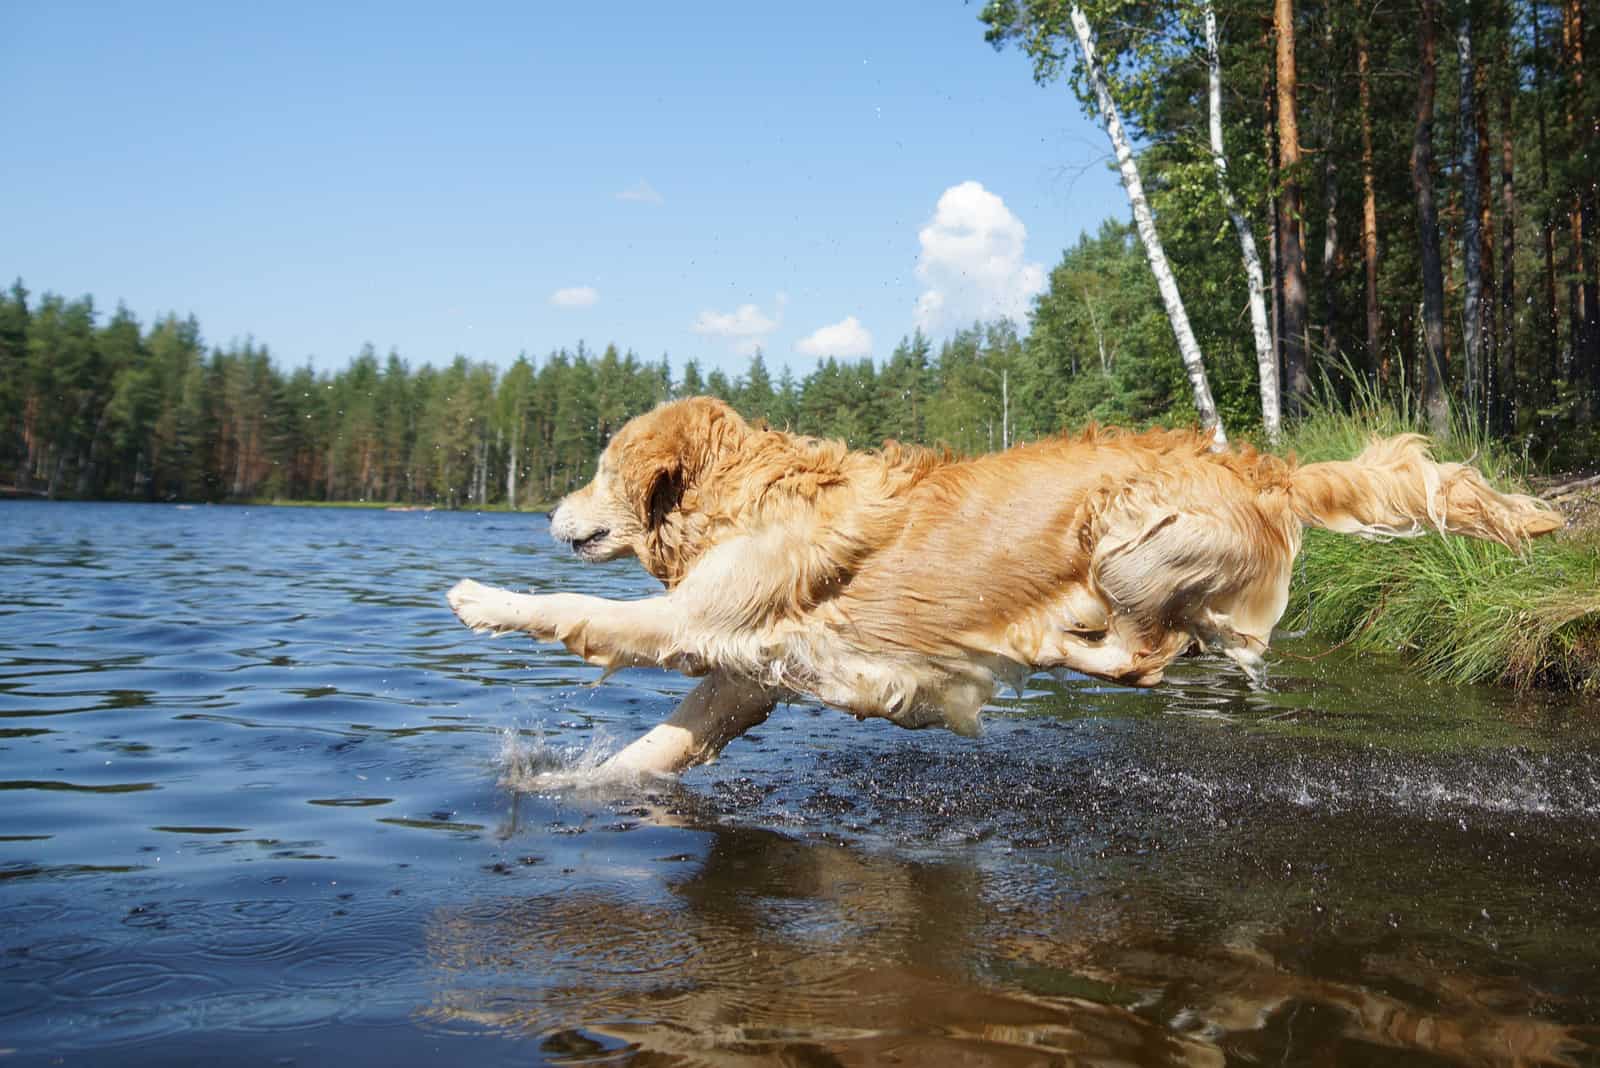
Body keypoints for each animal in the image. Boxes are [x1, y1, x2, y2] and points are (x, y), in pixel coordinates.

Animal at [451, 396, 1561, 770]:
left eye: (599, 468)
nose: (551, 513)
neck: (744, 495)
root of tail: (1266, 468)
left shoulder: (696, 621)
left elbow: (577, 611)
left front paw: (482, 600)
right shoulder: (747, 674)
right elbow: (658, 749)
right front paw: (573, 791)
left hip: (1126, 540)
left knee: (1148, 654)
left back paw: (1048, 642)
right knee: (1177, 647)